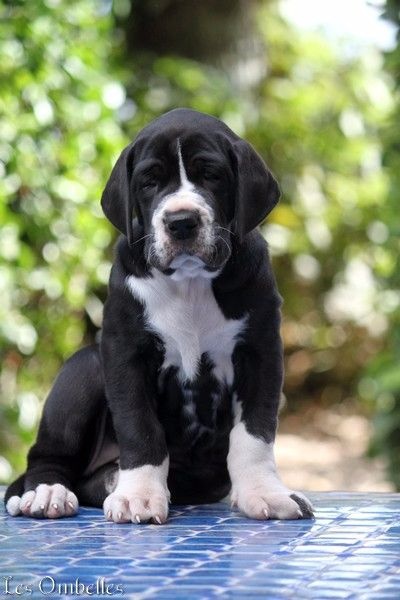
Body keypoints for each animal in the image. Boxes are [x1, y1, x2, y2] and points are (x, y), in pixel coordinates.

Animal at [5, 109, 313, 523]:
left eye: (211, 175)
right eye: (149, 181)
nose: (181, 221)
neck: (190, 282)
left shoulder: (260, 352)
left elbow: (254, 434)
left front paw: (265, 493)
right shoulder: (125, 353)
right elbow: (140, 427)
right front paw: (138, 495)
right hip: (85, 367)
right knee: (47, 456)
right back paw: (49, 492)